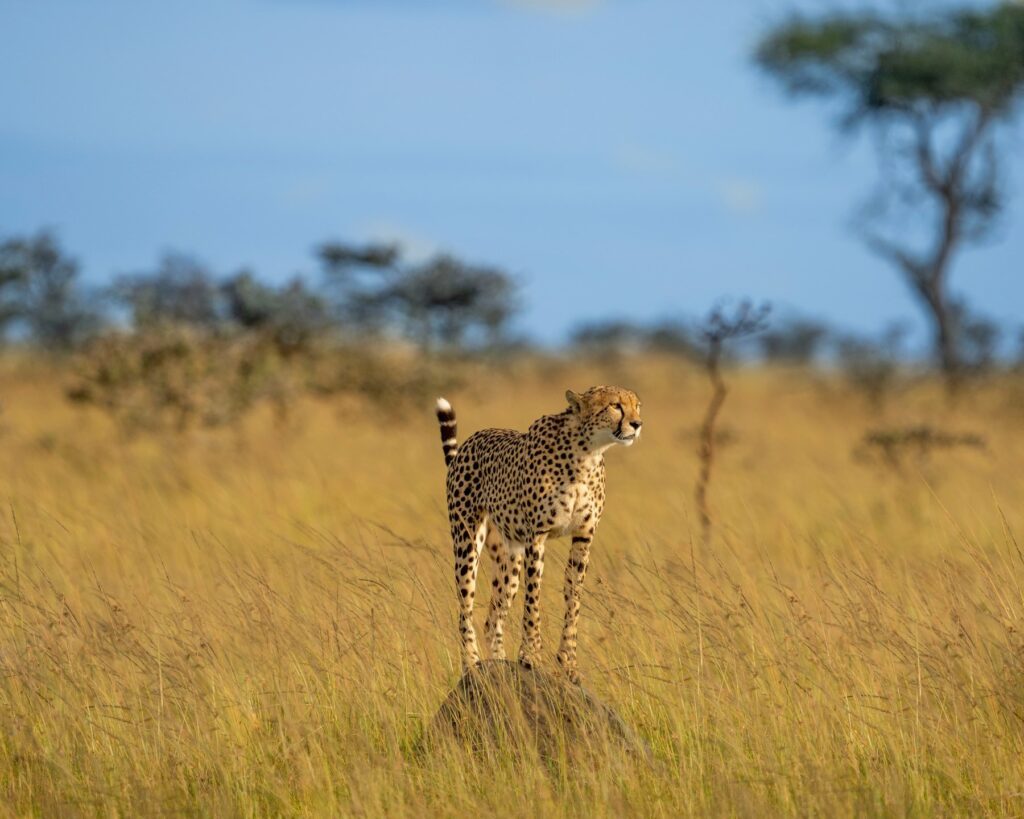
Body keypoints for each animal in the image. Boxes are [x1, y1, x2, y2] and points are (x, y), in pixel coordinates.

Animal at [436, 386, 643, 679]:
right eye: (615, 406)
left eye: (637, 406)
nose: (637, 424)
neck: (586, 454)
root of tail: (471, 440)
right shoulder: (537, 536)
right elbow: (534, 598)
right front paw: (530, 655)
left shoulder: (584, 536)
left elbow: (573, 598)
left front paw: (568, 661)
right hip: (467, 542)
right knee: (465, 606)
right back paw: (472, 664)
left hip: (510, 559)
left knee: (492, 617)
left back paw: (499, 663)